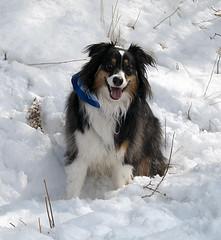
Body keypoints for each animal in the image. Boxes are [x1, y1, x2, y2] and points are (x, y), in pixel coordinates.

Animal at [64, 42, 167, 198]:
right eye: (109, 65)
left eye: (129, 67)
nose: (118, 80)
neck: (109, 106)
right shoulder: (80, 147)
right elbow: (74, 184)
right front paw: (70, 201)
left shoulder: (125, 153)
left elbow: (120, 182)